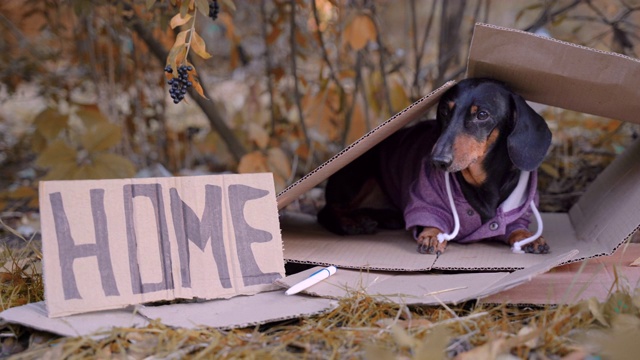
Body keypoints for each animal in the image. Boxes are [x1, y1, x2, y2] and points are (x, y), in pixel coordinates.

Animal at [318, 77, 552, 255]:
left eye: (482, 115)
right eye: (445, 111)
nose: (437, 161)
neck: (482, 183)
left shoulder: (517, 216)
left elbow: (516, 228)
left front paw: (529, 237)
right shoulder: (425, 199)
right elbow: (431, 216)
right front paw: (432, 235)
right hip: (358, 178)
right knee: (328, 210)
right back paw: (352, 223)